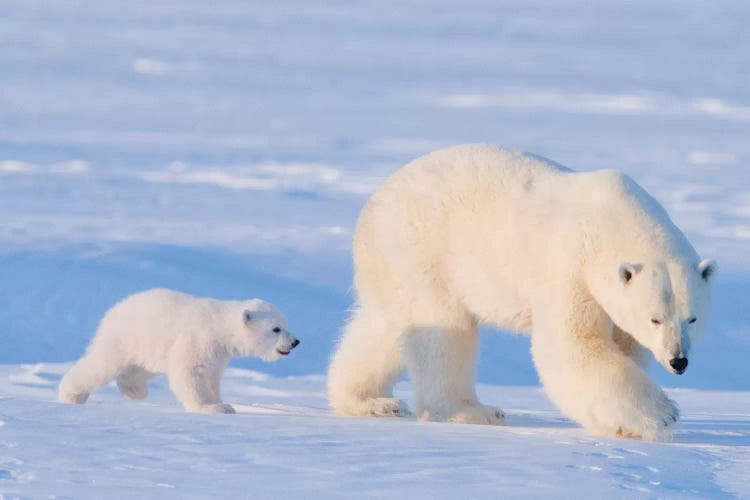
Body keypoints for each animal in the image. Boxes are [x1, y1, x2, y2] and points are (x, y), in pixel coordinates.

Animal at [328, 145, 716, 442]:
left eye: (692, 318)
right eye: (655, 318)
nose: (678, 361)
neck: (612, 223)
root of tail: (375, 203)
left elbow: (624, 347)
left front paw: (624, 424)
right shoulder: (569, 267)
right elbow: (571, 345)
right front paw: (662, 413)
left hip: (393, 267)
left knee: (386, 329)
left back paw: (369, 401)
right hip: (422, 251)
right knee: (443, 331)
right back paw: (473, 411)